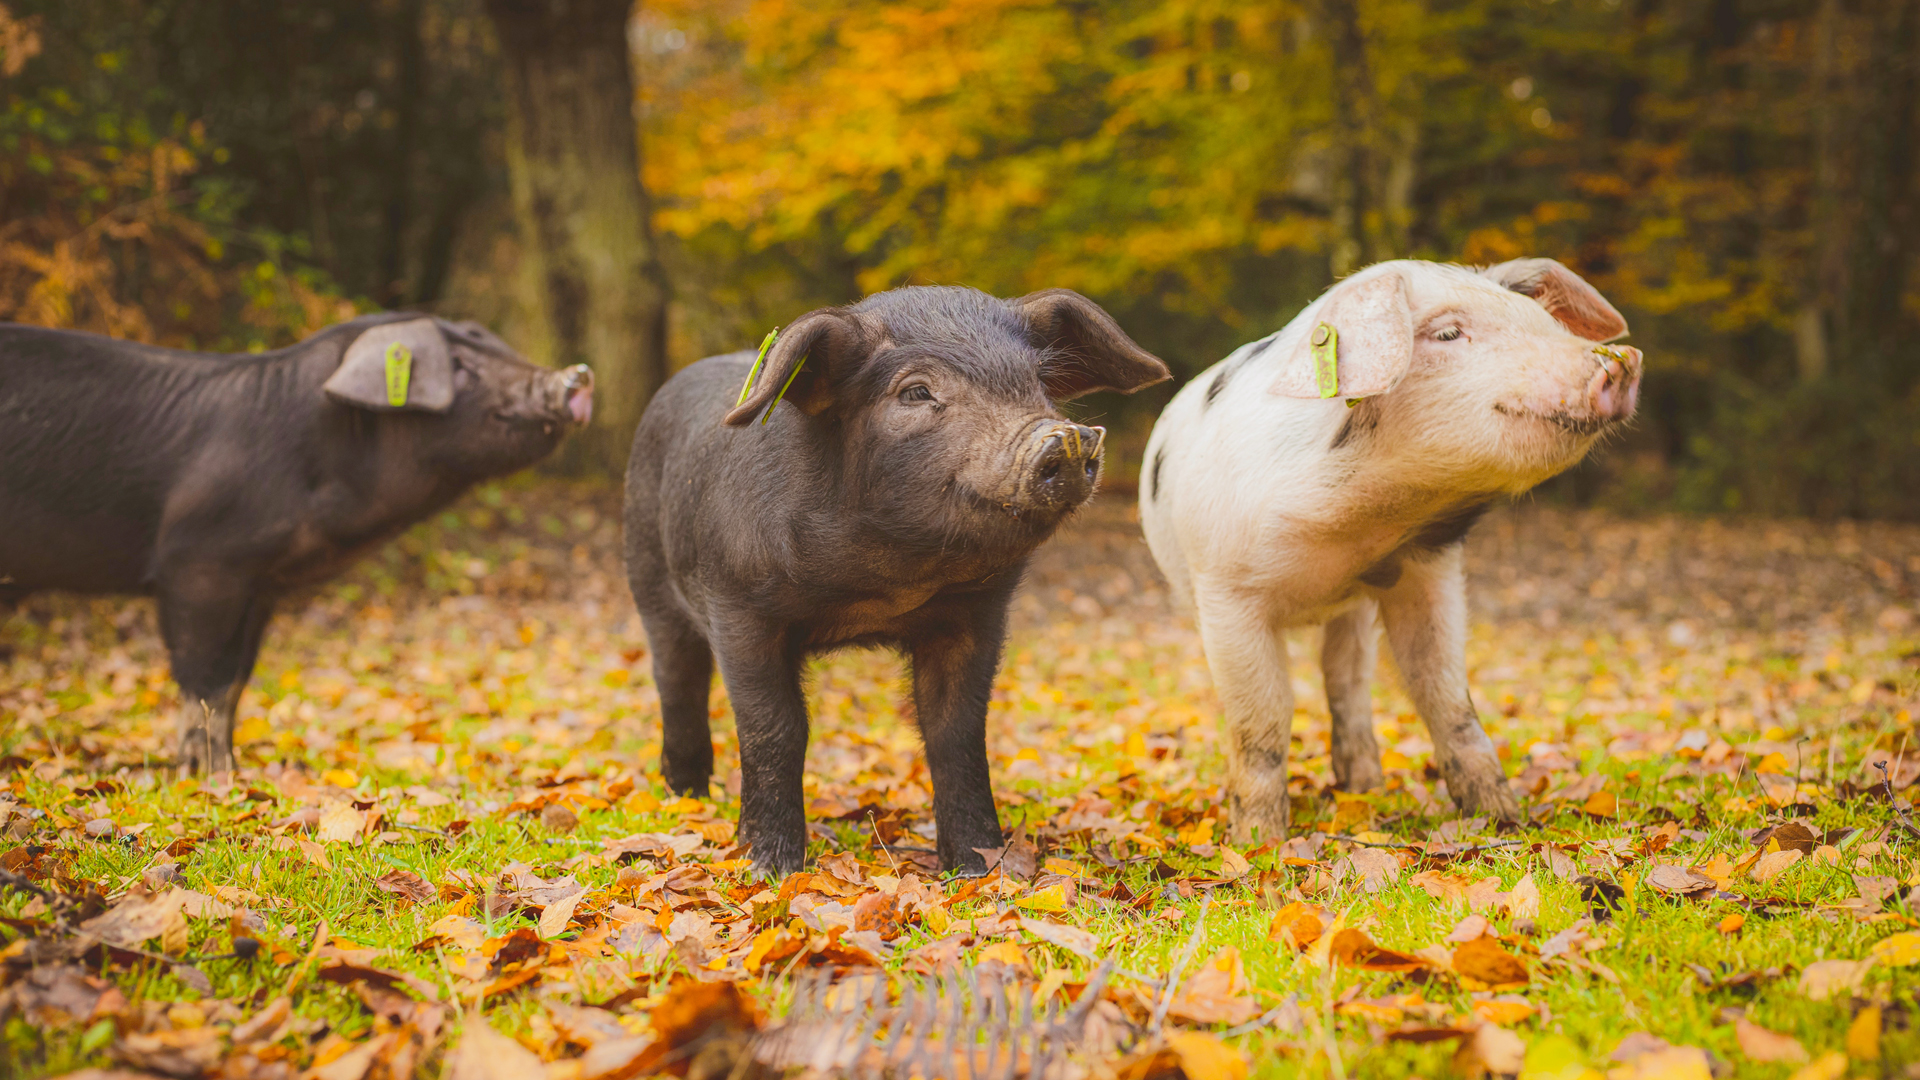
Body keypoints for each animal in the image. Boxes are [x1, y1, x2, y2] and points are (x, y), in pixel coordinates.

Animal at [0, 314, 593, 773]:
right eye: (461, 369)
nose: (577, 374)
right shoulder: (196, 564)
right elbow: (204, 677)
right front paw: (208, 776)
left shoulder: (261, 584)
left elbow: (236, 679)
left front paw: (232, 769)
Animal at [624, 286, 1169, 876]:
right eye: (916, 391)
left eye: (1040, 384)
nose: (1064, 436)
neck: (879, 591)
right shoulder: (738, 604)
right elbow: (775, 728)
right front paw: (771, 868)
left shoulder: (976, 614)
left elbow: (957, 730)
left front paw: (978, 867)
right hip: (648, 580)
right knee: (677, 681)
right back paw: (687, 799)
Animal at [1138, 259, 1642, 841]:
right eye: (1447, 334)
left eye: (1544, 321)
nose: (1624, 360)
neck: (1358, 532)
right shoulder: (1226, 589)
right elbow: (1262, 721)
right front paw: (1257, 843)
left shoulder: (1428, 570)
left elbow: (1444, 694)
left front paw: (1503, 820)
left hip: (1352, 612)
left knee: (1347, 681)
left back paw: (1365, 787)